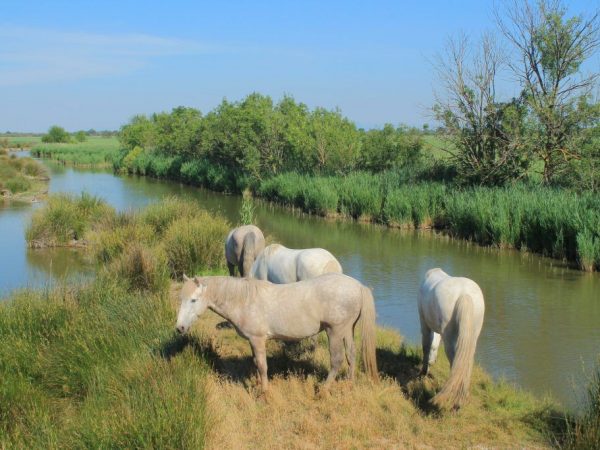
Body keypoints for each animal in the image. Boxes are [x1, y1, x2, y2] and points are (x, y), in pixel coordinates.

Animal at [176, 272, 378, 392]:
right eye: (181, 298)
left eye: (193, 300)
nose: (180, 328)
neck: (244, 300)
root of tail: (358, 286)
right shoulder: (252, 341)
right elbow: (256, 363)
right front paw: (258, 384)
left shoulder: (258, 339)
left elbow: (263, 365)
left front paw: (264, 392)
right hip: (347, 330)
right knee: (351, 355)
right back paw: (349, 383)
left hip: (334, 331)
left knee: (337, 360)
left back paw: (323, 389)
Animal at [420, 268, 486, 410]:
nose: (433, 362)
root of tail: (464, 294)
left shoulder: (424, 322)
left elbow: (427, 345)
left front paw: (423, 372)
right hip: (472, 337)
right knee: (467, 362)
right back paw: (461, 398)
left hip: (449, 338)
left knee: (453, 360)